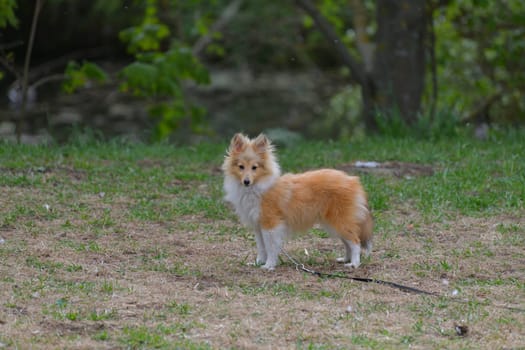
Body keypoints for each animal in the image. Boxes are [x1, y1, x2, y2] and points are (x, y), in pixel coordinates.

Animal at [222, 133, 372, 270]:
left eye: (254, 167)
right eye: (241, 167)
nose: (246, 181)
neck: (258, 188)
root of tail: (353, 180)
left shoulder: (271, 224)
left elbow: (270, 247)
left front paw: (269, 265)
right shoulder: (258, 226)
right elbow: (261, 247)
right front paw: (258, 263)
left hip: (340, 221)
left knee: (355, 242)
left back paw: (354, 264)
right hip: (334, 224)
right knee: (348, 243)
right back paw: (345, 259)